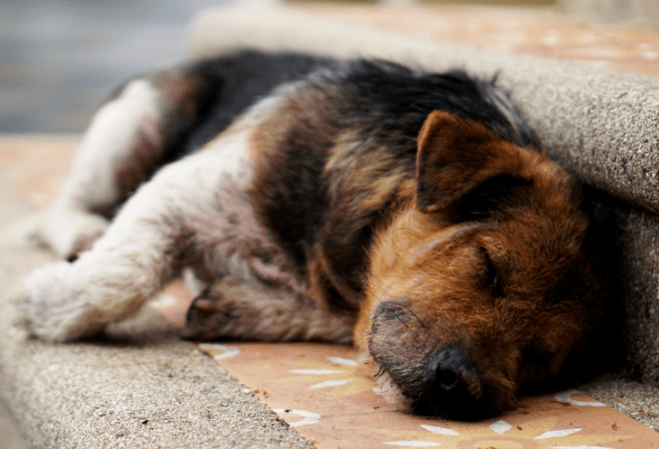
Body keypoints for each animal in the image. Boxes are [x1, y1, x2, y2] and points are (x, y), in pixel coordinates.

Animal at [15, 50, 604, 418]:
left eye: (539, 357)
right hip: (141, 113)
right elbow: (127, 270)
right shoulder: (186, 187)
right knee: (62, 206)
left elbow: (335, 319)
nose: (462, 388)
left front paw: (235, 306)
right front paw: (48, 308)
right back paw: (81, 234)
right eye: (488, 267)